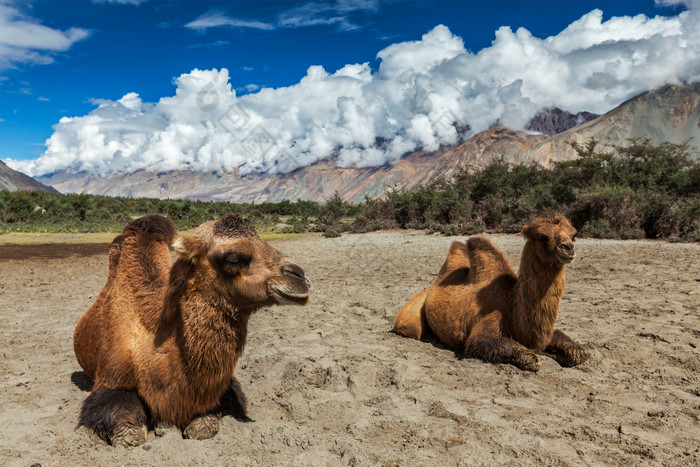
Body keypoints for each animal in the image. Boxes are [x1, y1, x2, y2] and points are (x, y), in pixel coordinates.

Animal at [73, 215, 308, 446]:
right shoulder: (111, 380)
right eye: (233, 259)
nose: (300, 278)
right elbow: (131, 435)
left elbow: (204, 426)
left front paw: (171, 424)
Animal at [394, 212, 584, 372]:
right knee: (410, 328)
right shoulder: (489, 323)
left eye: (573, 235)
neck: (512, 302)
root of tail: (434, 285)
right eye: (542, 236)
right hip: (412, 315)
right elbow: (526, 356)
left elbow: (579, 353)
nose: (568, 248)